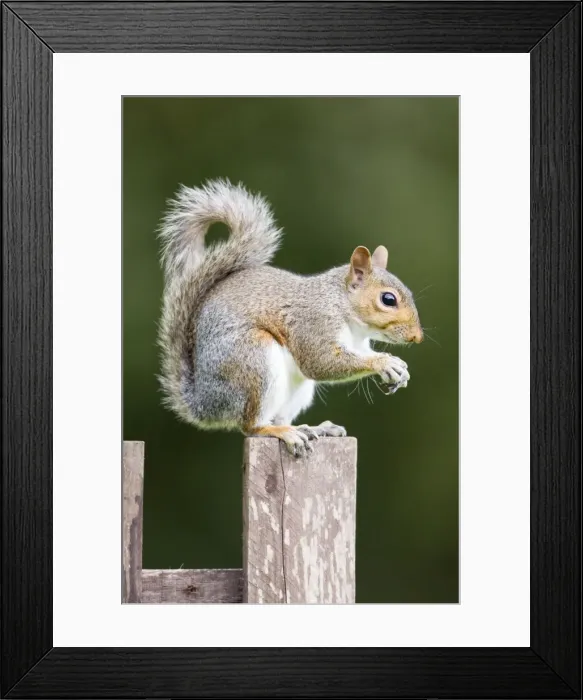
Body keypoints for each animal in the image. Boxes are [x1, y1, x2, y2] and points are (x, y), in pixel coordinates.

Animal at [157, 179, 423, 458]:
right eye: (388, 299)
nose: (418, 337)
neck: (344, 310)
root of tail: (204, 403)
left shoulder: (357, 344)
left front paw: (399, 369)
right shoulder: (313, 323)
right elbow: (321, 361)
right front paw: (384, 362)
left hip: (296, 390)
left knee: (279, 417)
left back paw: (311, 428)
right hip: (252, 361)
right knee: (252, 427)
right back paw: (283, 432)